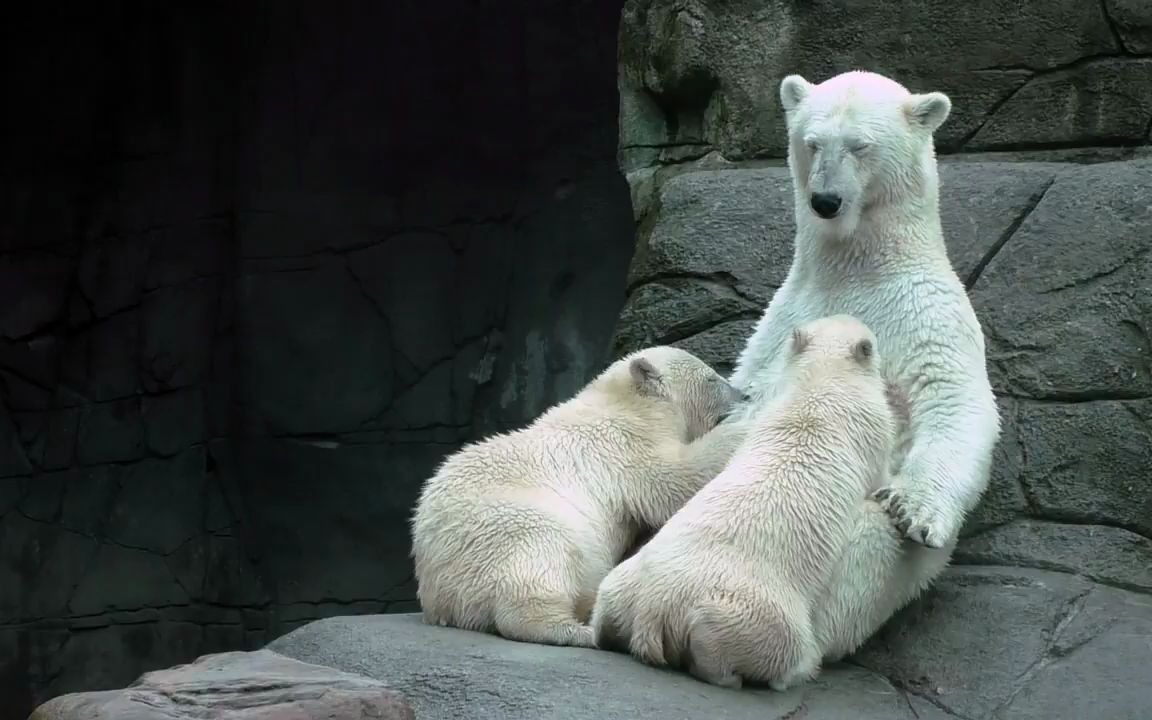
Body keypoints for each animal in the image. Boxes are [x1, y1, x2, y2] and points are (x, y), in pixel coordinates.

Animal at [409, 345, 749, 649]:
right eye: (712, 378)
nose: (743, 395)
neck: (626, 403)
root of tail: (442, 598)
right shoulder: (622, 447)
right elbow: (675, 479)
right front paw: (741, 426)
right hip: (503, 528)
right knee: (539, 559)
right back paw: (580, 631)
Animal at [589, 315, 898, 691]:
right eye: (874, 342)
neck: (820, 385)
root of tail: (654, 610)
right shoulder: (873, 430)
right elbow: (881, 474)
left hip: (625, 583)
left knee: (609, 603)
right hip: (751, 604)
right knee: (770, 642)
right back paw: (761, 673)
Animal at [724, 70, 1001, 663]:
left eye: (860, 145)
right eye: (812, 143)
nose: (825, 201)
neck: (856, 268)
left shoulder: (925, 312)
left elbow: (954, 402)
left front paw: (915, 511)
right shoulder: (784, 314)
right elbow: (745, 389)